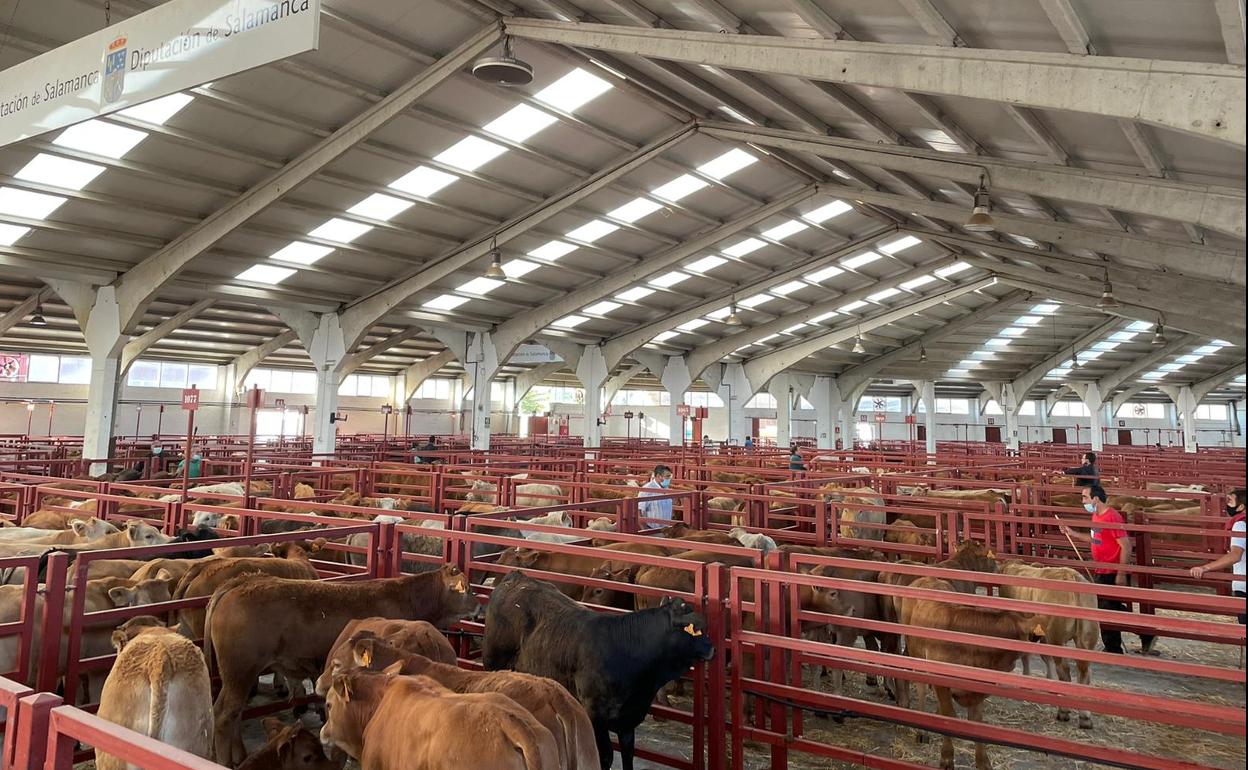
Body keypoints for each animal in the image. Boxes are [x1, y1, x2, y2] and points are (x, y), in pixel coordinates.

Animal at [204, 564, 476, 763]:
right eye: (466, 587)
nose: (478, 607)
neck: (406, 597)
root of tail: (243, 581)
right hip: (240, 671)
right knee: (225, 715)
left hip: (237, 675)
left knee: (231, 711)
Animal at [479, 566, 713, 768]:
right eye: (694, 629)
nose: (712, 648)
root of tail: (516, 577)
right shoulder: (595, 713)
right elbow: (605, 756)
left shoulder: (628, 719)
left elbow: (628, 754)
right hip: (494, 661)